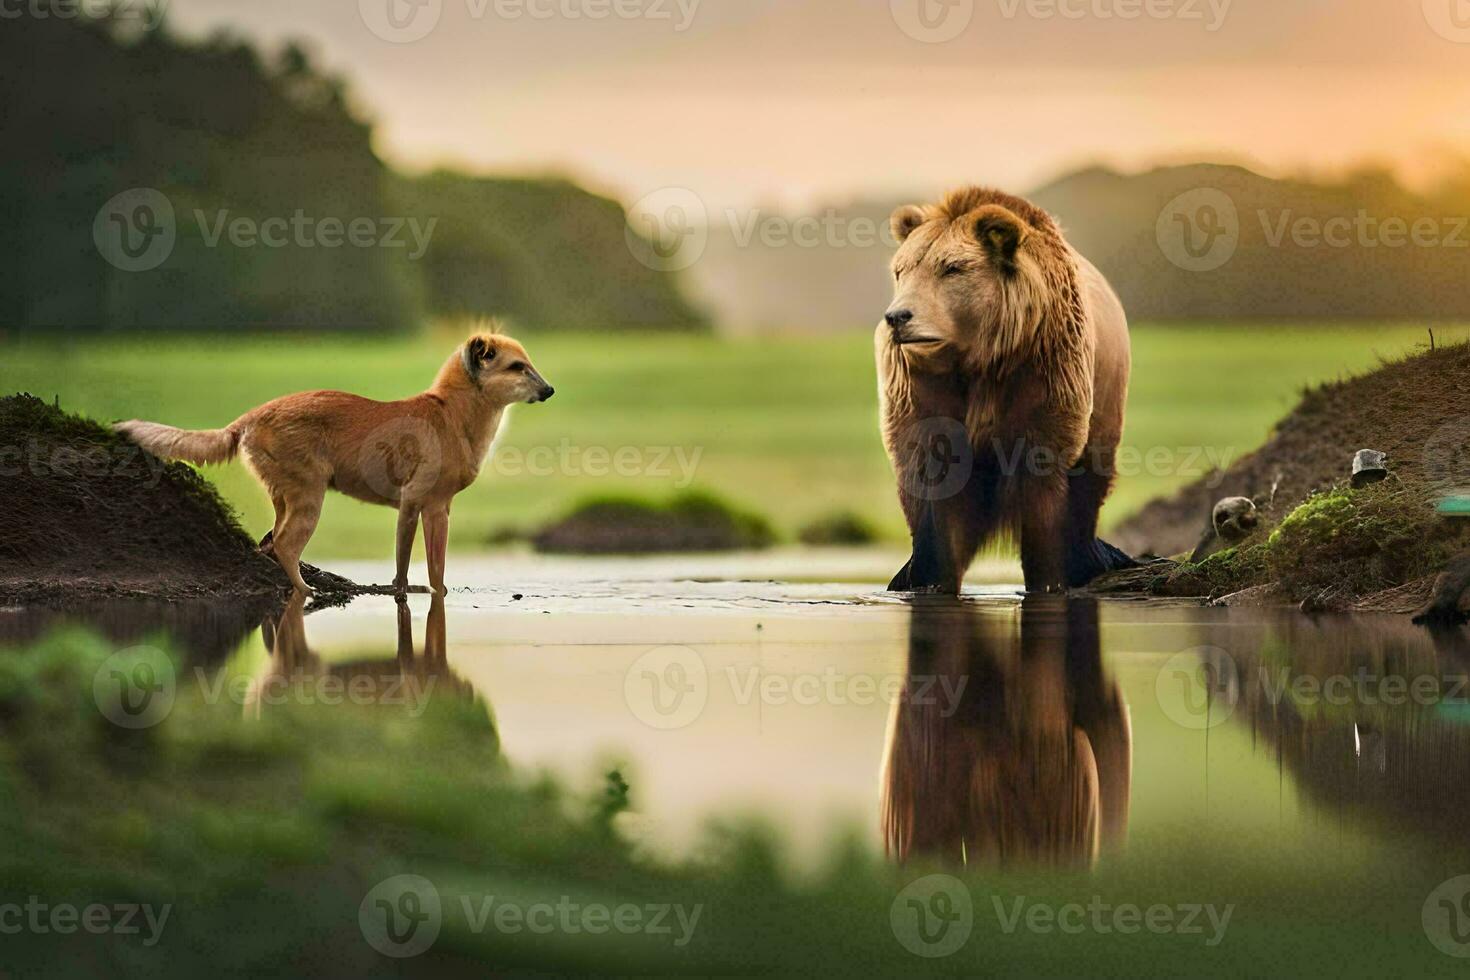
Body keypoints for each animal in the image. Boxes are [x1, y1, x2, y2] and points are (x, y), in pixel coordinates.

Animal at [114, 329, 552, 593]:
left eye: (530, 363)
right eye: (516, 367)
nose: (549, 390)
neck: (454, 414)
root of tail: (253, 415)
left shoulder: (436, 507)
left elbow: (431, 567)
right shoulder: (417, 503)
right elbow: (412, 565)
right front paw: (411, 592)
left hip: (284, 496)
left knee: (268, 542)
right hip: (309, 495)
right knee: (285, 546)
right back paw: (306, 592)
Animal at [876, 186, 1128, 593]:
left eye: (951, 268)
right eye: (902, 270)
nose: (898, 317)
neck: (979, 357)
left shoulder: (1042, 373)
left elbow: (1044, 485)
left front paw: (1048, 578)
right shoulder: (922, 390)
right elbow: (934, 483)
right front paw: (929, 577)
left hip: (1106, 393)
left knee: (1091, 478)